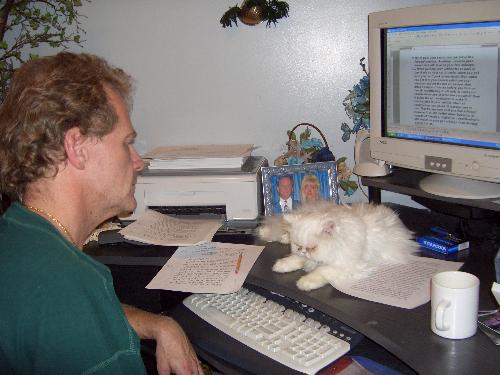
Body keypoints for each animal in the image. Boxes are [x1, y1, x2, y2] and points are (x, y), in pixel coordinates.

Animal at [258, 201, 418, 292]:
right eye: (298, 246)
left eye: (312, 248)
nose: (303, 251)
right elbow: (295, 259)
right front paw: (281, 265)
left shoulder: (345, 265)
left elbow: (320, 271)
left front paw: (305, 282)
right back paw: (270, 234)